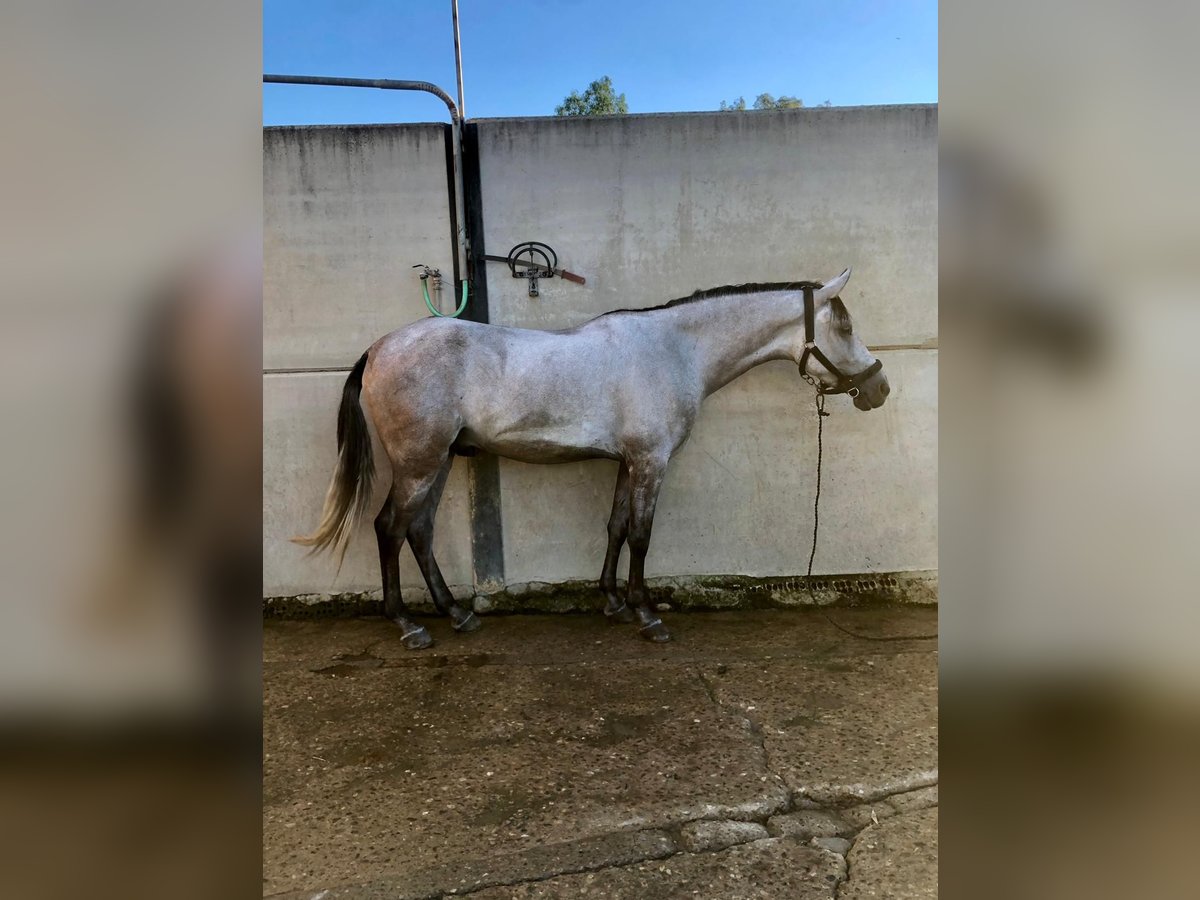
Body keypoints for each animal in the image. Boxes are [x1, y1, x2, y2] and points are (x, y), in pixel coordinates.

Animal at [294, 267, 888, 648]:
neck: (674, 348)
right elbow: (642, 534)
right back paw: (408, 626)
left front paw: (612, 602)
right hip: (419, 463)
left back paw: (457, 614)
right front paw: (646, 613)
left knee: (418, 530)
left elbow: (616, 527)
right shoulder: (651, 461)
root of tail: (379, 348)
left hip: (436, 463)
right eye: (846, 326)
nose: (879, 389)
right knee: (390, 528)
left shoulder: (629, 461)